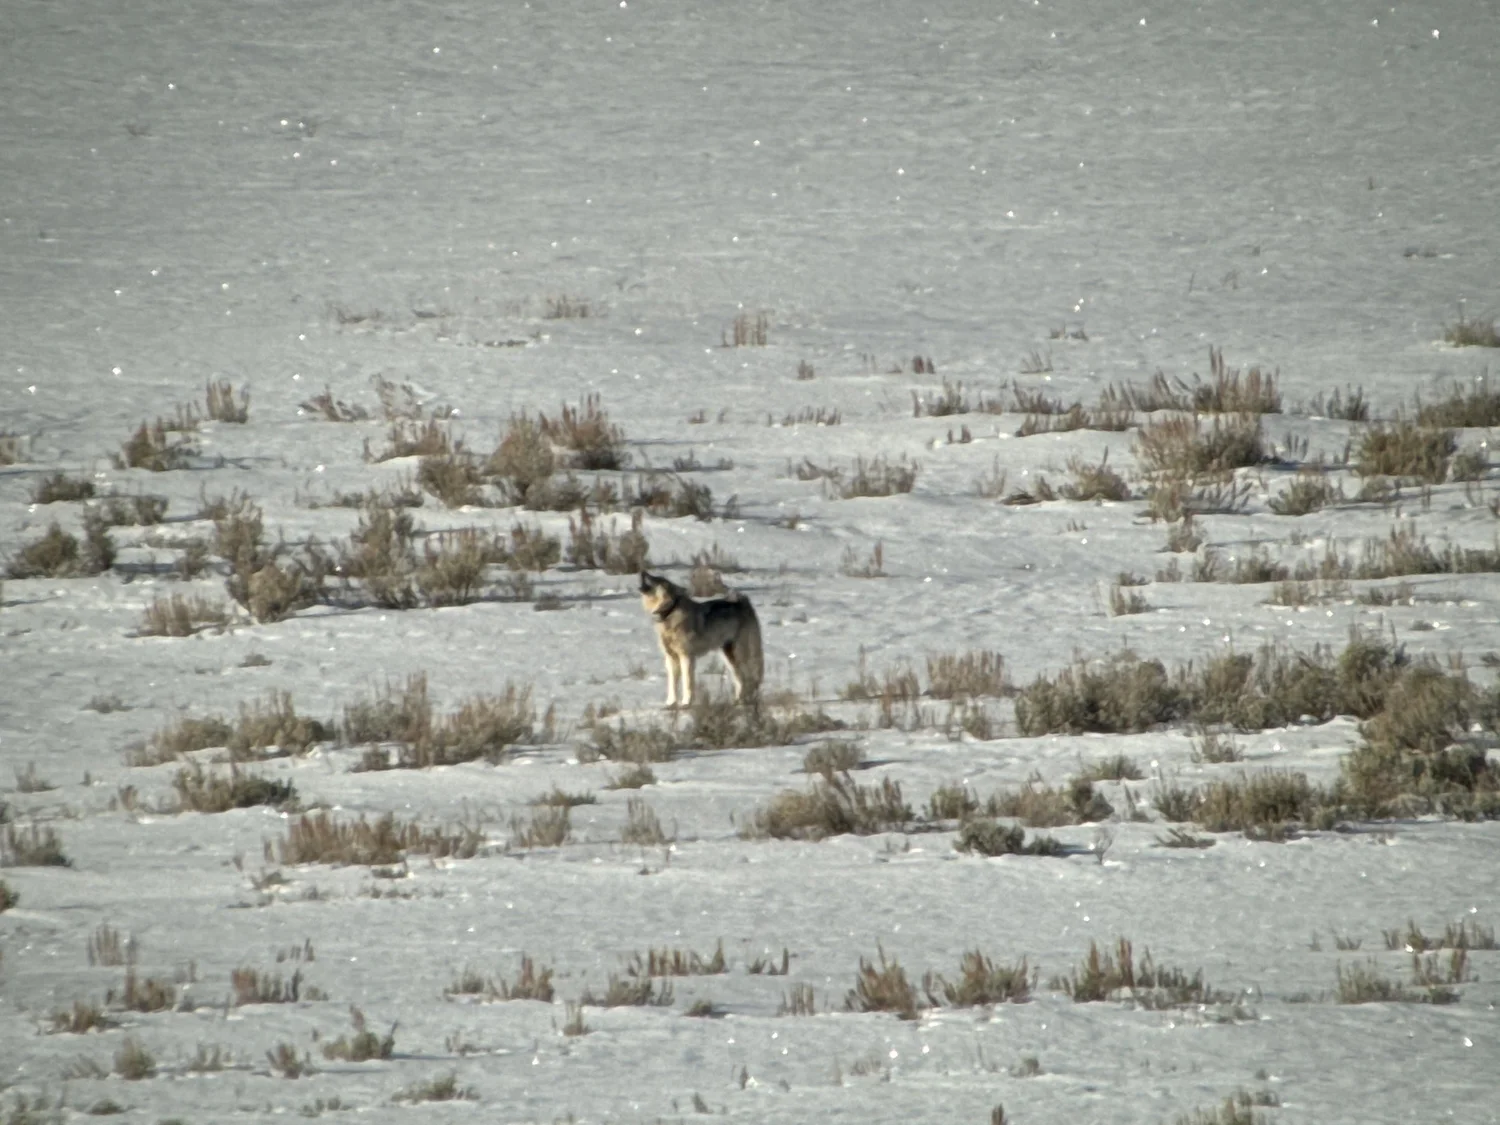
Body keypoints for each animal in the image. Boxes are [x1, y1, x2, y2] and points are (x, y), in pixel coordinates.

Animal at [638, 570, 763, 707]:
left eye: (657, 579)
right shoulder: (671, 658)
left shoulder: (686, 656)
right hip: (729, 657)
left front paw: (686, 703)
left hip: (740, 654)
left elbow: (687, 682)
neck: (670, 612)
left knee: (749, 677)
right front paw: (671, 703)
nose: (643, 571)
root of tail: (742, 601)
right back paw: (738, 702)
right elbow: (672, 685)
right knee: (741, 679)